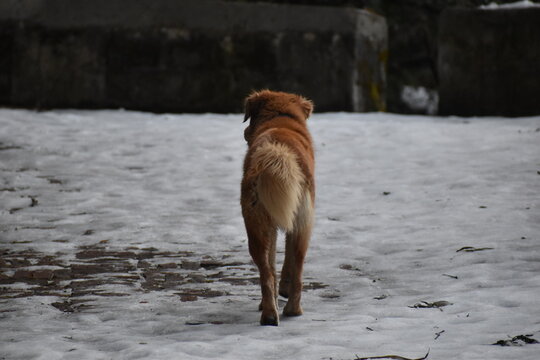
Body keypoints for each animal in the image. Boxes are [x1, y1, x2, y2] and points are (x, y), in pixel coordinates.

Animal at [242, 90, 314, 326]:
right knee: (294, 266)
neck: (280, 117)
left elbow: (275, 263)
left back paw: (271, 313)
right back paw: (290, 310)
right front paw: (283, 289)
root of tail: (277, 155)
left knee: (268, 271)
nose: (245, 133)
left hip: (257, 227)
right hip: (302, 223)